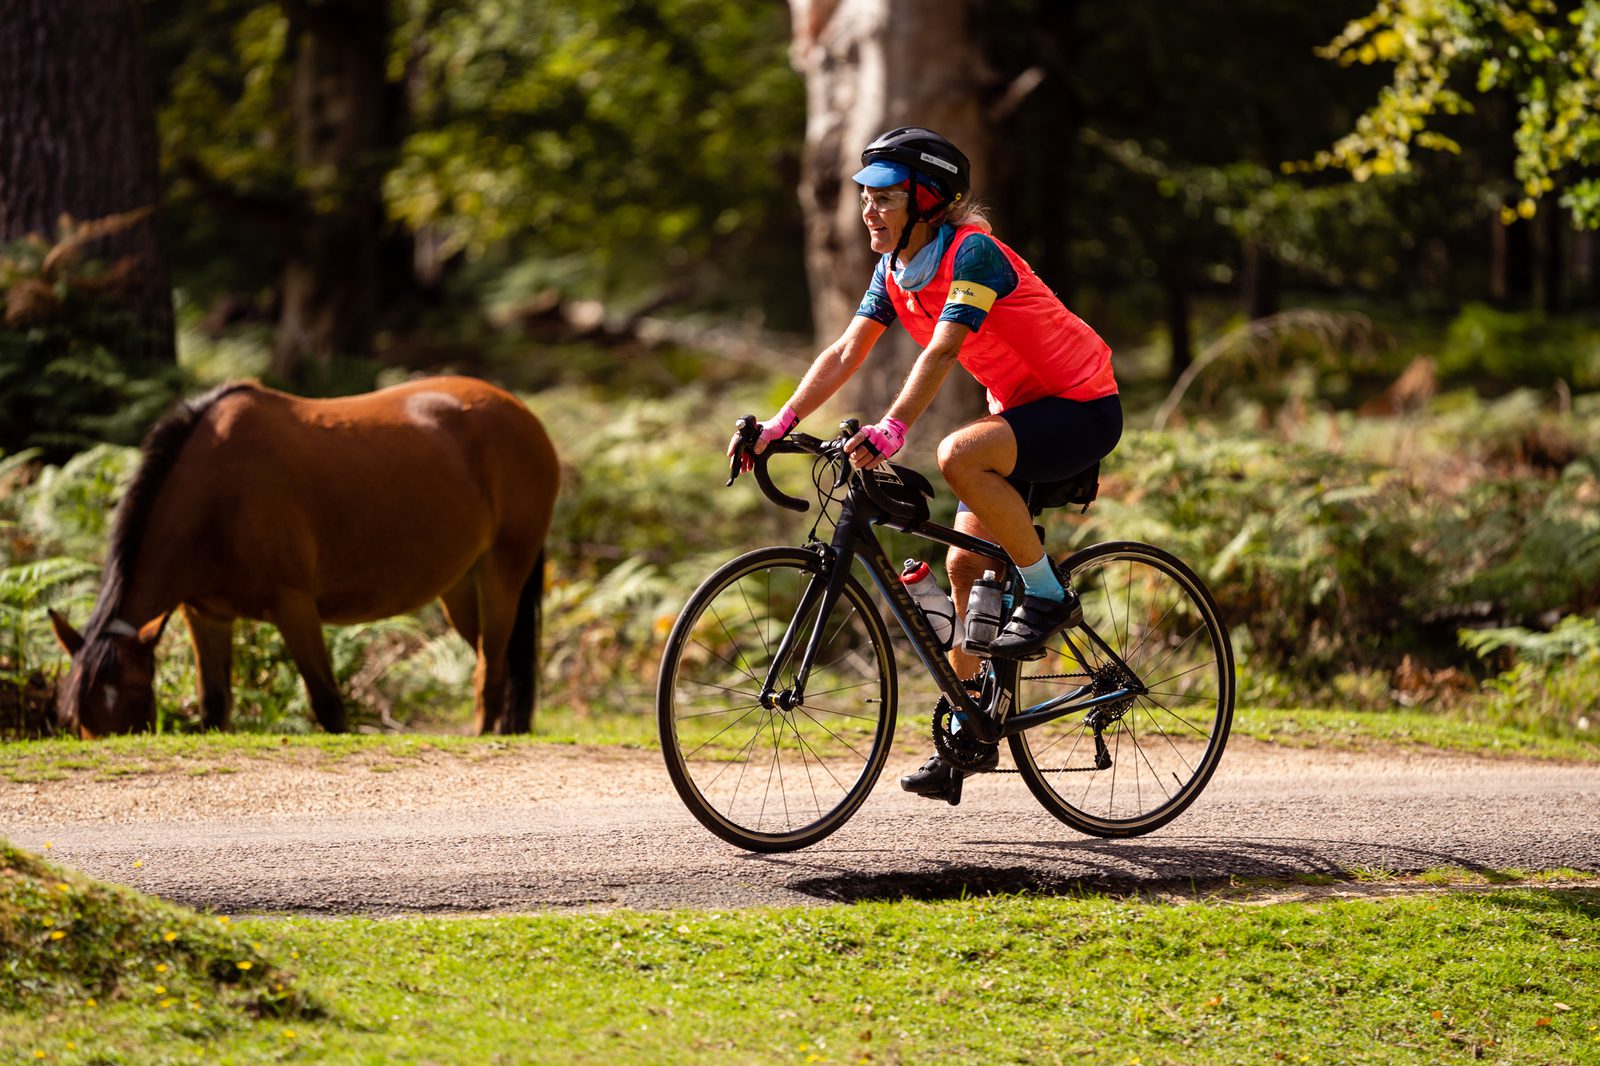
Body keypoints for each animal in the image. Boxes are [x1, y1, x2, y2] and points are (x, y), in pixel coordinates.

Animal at [47, 376, 560, 738]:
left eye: (137, 695)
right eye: (75, 715)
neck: (217, 495)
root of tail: (523, 415)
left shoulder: (293, 605)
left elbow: (329, 706)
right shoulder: (206, 614)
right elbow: (214, 706)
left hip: (502, 574)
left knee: (491, 669)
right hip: (459, 588)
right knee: (495, 660)